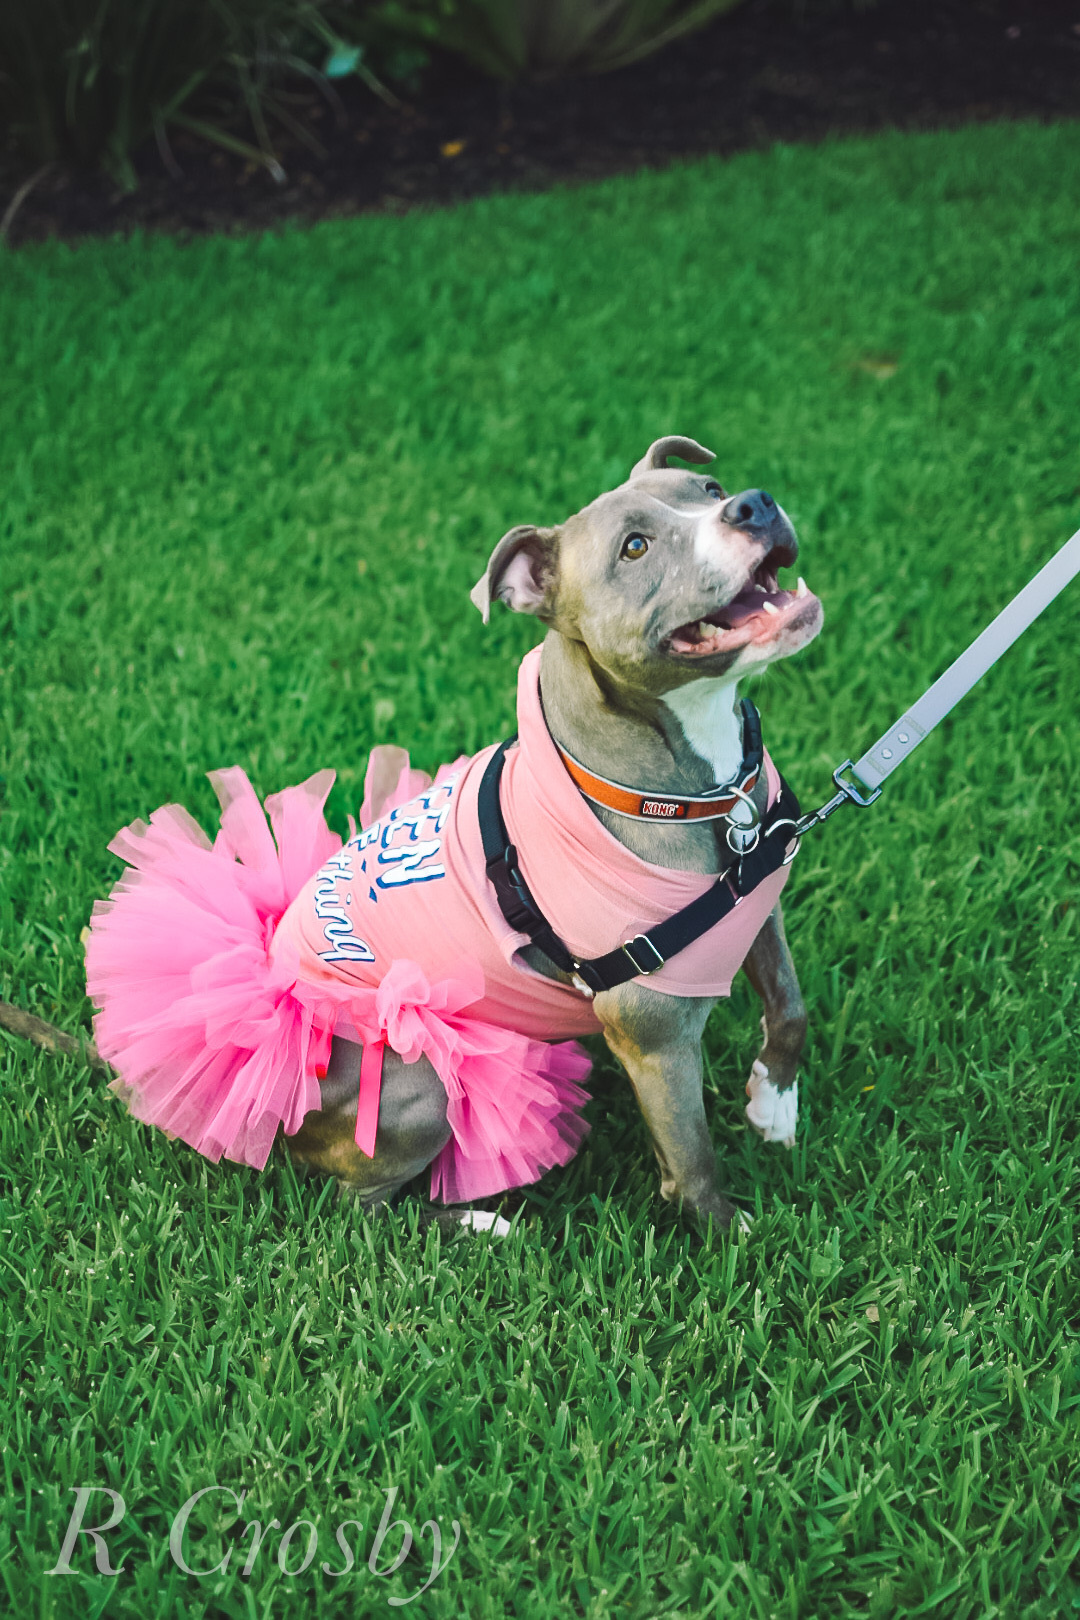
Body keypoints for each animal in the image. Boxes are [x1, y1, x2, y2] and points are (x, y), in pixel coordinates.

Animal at [284, 437, 819, 1231]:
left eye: (708, 487)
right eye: (634, 548)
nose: (751, 504)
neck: (694, 792)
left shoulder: (758, 905)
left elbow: (789, 1008)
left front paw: (773, 1105)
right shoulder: (658, 1042)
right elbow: (693, 1161)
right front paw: (732, 1236)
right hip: (417, 1089)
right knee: (366, 1206)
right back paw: (484, 1225)